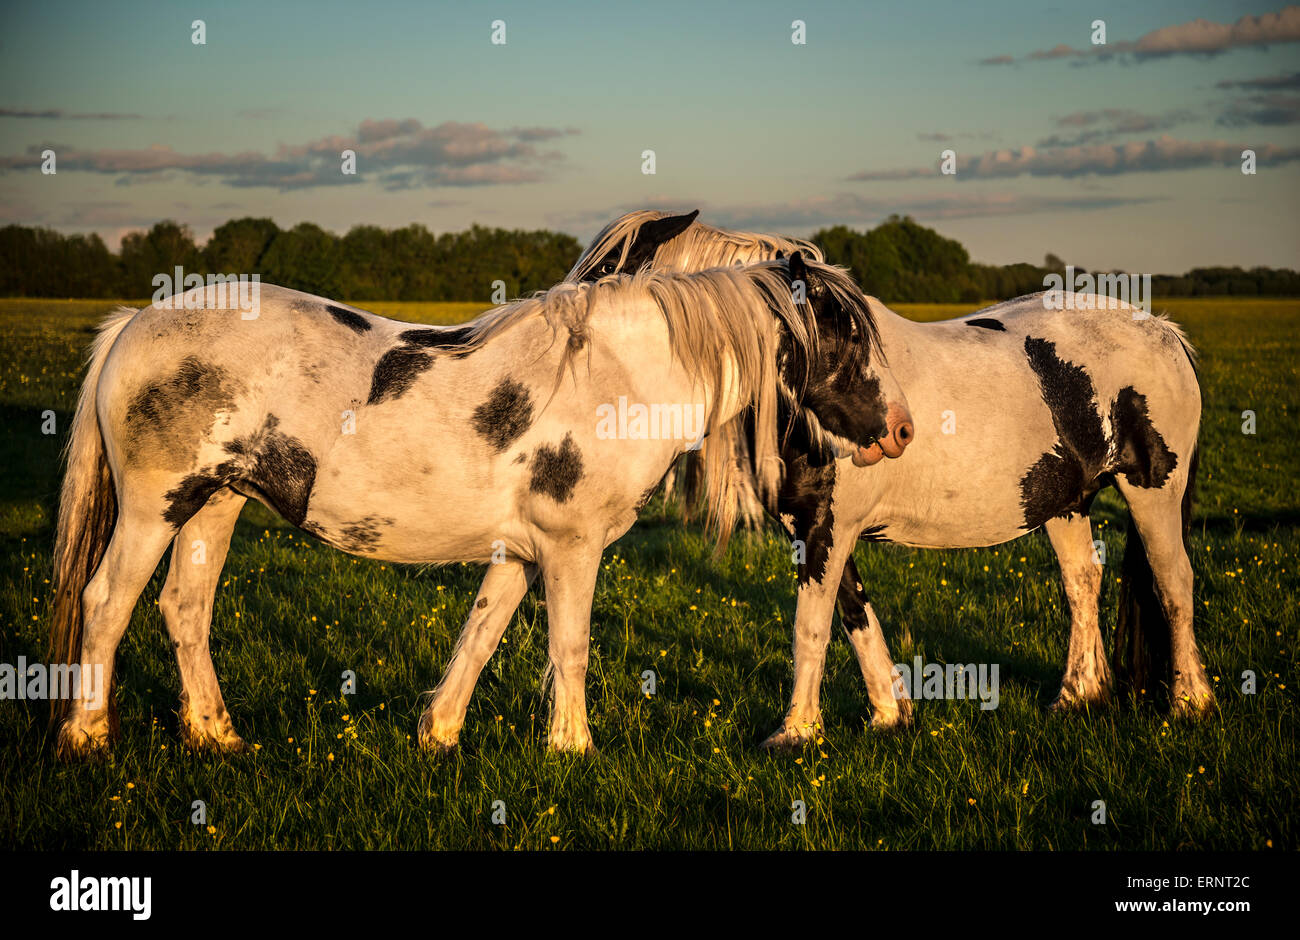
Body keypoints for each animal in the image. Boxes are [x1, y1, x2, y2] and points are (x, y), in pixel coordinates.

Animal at [48, 253, 910, 756]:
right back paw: (87, 737)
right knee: (106, 603)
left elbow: (480, 635)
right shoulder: (571, 547)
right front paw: (573, 749)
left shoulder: (523, 551)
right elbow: (570, 647)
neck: (620, 378)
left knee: (184, 608)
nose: (902, 428)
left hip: (215, 503)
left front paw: (439, 734)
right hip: (156, 505)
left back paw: (216, 735)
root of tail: (135, 323)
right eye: (846, 336)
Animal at [568, 209, 1213, 748]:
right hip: (1064, 501)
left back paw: (1190, 701)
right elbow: (854, 614)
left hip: (1153, 489)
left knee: (1173, 582)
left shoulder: (827, 529)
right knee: (1082, 584)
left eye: (604, 280)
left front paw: (795, 732)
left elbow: (811, 626)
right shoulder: (816, 530)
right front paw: (888, 713)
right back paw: (1077, 695)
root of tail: (1165, 331)